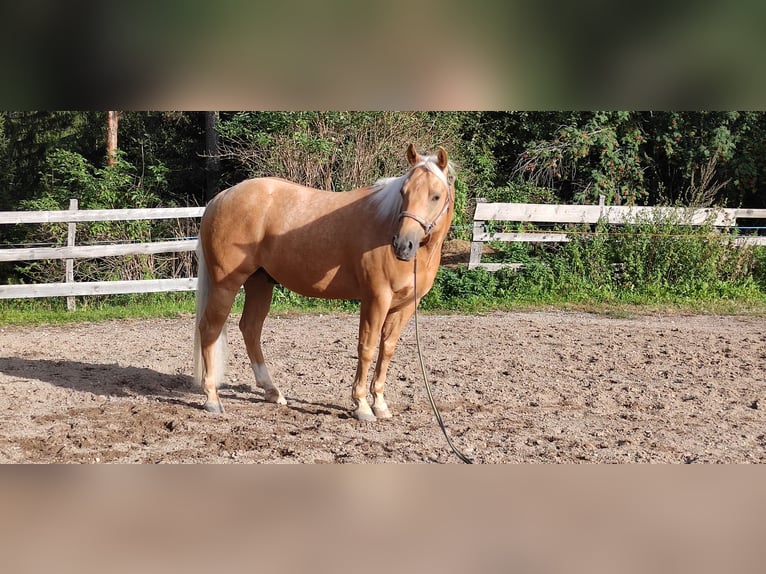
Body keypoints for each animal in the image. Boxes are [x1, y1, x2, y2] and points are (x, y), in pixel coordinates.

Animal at [193, 143, 455, 421]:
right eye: (404, 192)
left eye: (436, 196)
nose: (403, 245)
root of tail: (222, 197)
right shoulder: (376, 298)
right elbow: (367, 347)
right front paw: (362, 405)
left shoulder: (405, 305)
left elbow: (387, 349)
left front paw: (380, 404)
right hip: (225, 285)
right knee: (209, 329)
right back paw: (212, 399)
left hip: (260, 283)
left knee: (250, 329)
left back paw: (272, 391)